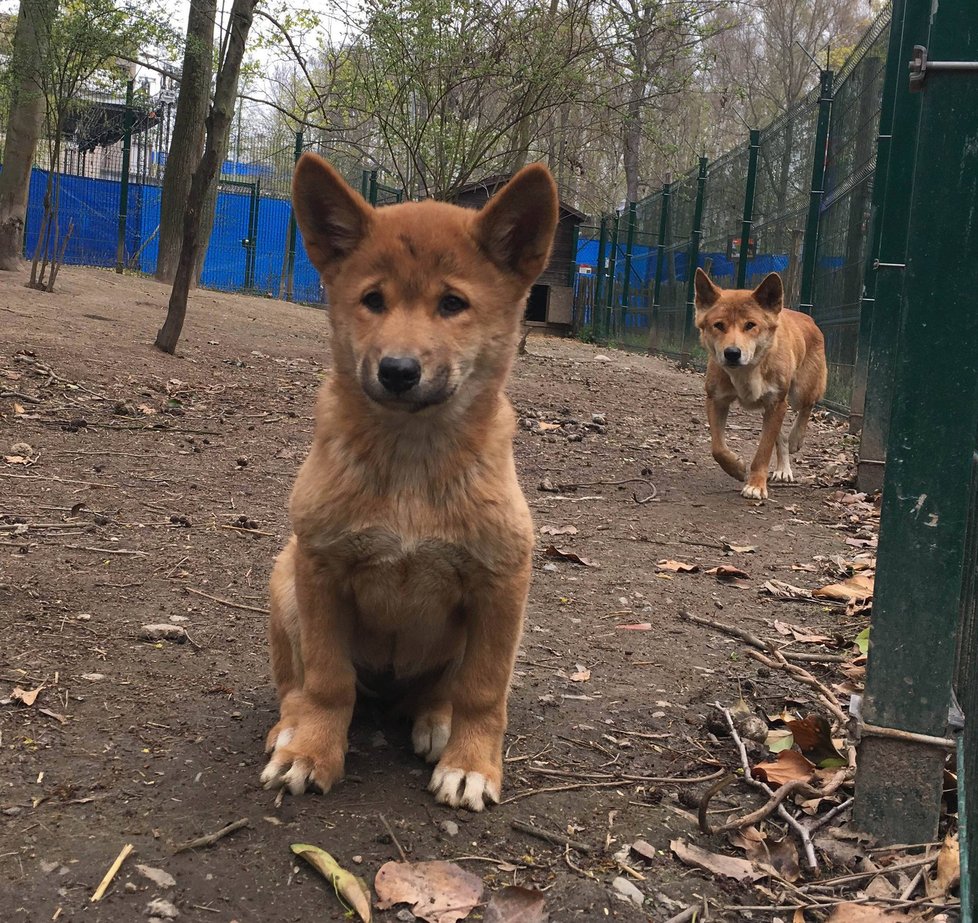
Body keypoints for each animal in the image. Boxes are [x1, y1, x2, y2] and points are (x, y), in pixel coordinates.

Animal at [262, 155, 556, 812]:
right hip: (284, 579)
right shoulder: (320, 570)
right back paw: (290, 728)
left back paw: (435, 719)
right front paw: (313, 751)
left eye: (452, 303)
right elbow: (328, 681)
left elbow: (483, 691)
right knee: (295, 684)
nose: (398, 370)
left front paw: (471, 764)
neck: (411, 465)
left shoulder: (503, 582)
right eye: (372, 300)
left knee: (444, 689)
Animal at [692, 268, 824, 498]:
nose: (732, 353)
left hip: (800, 392)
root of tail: (808, 318)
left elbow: (763, 451)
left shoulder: (776, 403)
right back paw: (783, 469)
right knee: (781, 437)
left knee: (806, 408)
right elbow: (717, 448)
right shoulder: (716, 399)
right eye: (719, 325)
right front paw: (736, 467)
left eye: (750, 325)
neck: (747, 371)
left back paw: (796, 438)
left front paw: (755, 485)